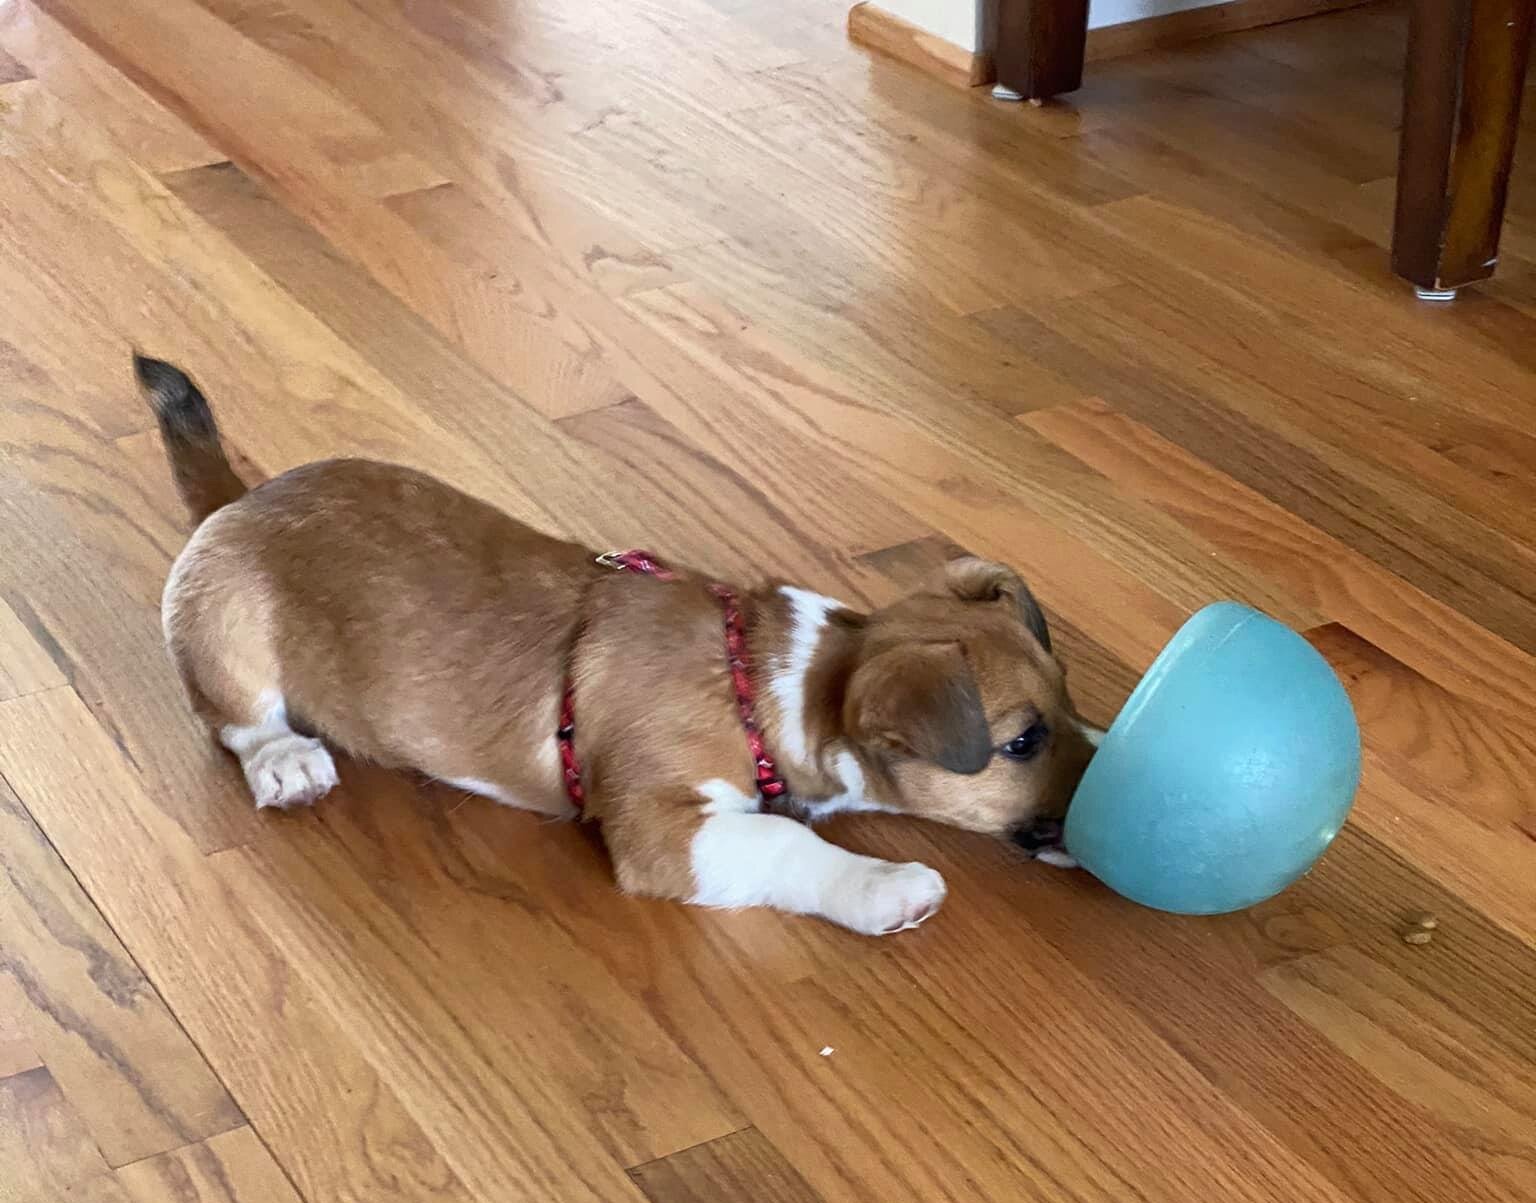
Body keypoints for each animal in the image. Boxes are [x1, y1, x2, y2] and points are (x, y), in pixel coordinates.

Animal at [138, 353, 1099, 934]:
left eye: (1069, 701)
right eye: (1022, 741)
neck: (766, 686)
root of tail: (237, 497)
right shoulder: (667, 832)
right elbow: (789, 845)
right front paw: (888, 886)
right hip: (228, 637)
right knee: (240, 720)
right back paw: (287, 761)